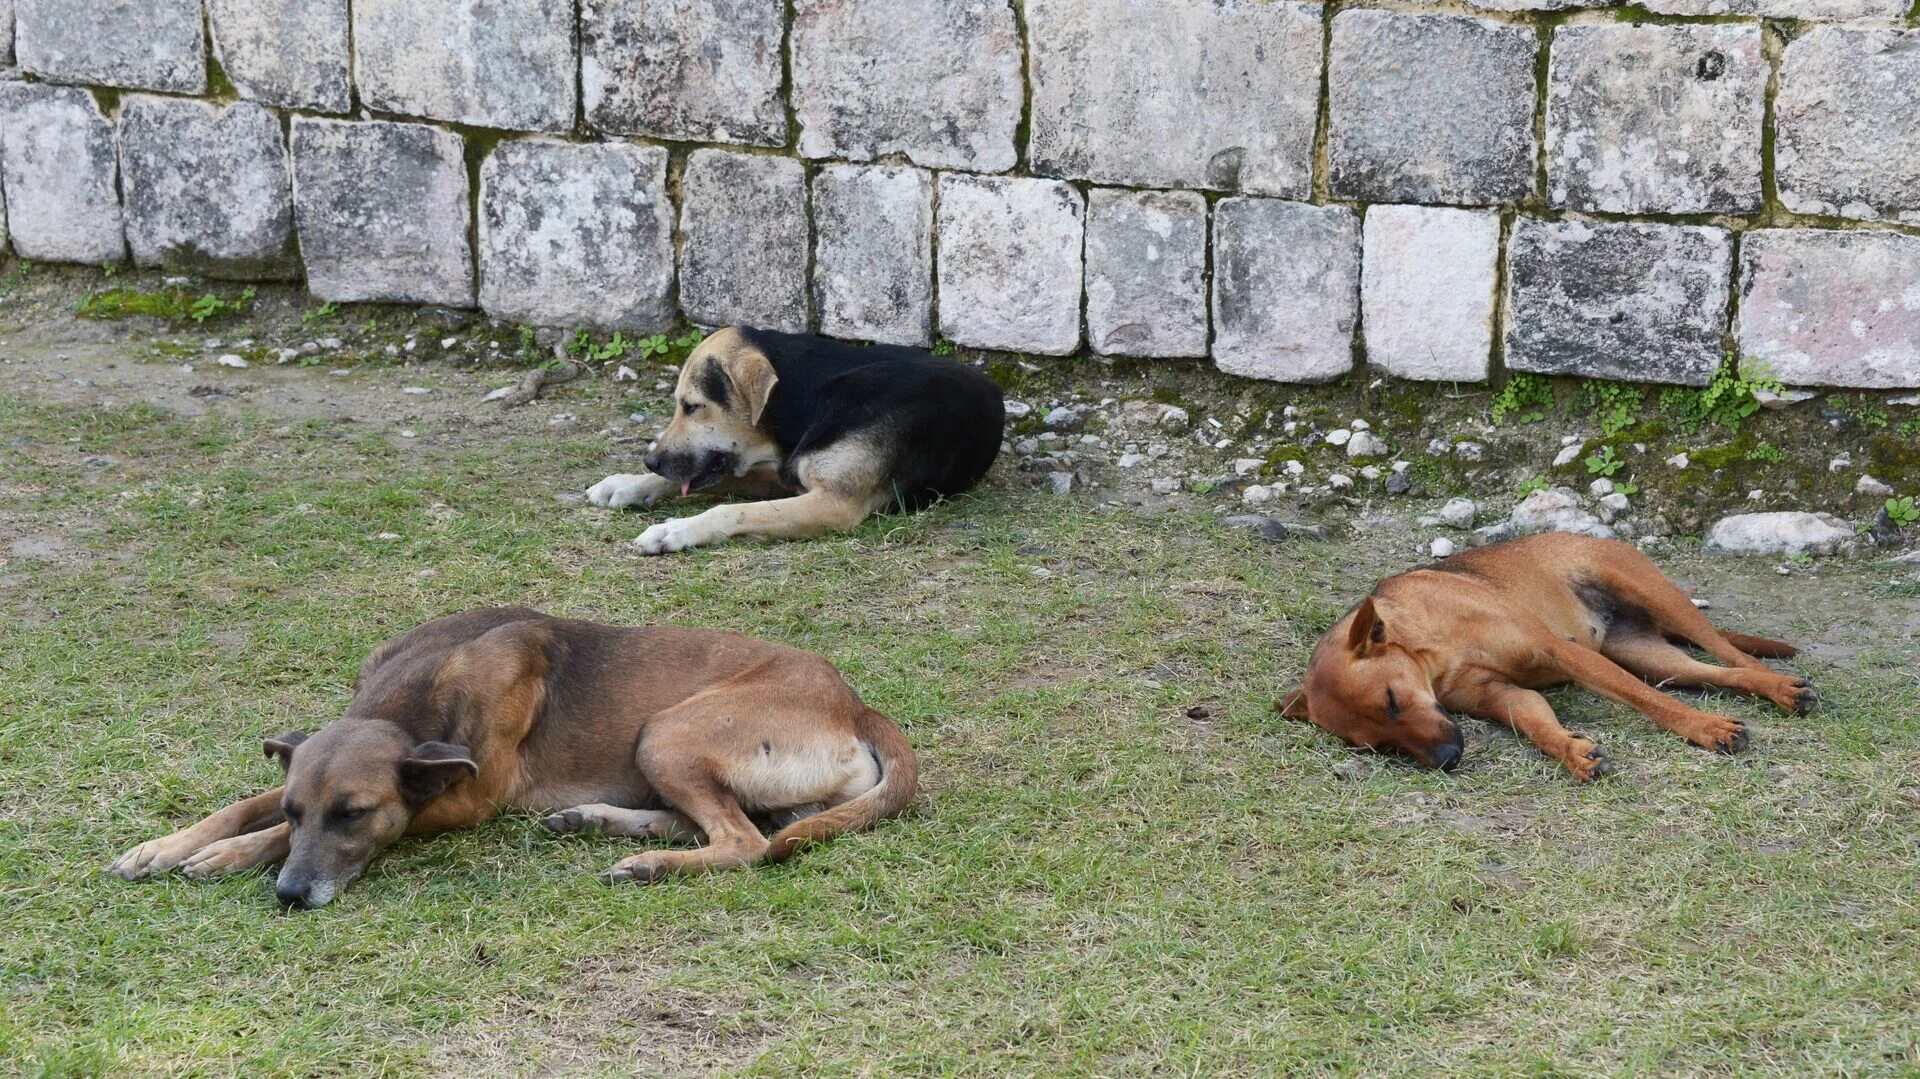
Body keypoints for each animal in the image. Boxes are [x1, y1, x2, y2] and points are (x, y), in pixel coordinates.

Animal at [108, 610, 917, 902]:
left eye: (354, 814)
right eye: (299, 806)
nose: (290, 895)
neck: (415, 693)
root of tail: (854, 703)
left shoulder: (467, 798)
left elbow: (268, 831)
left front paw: (224, 856)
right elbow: (247, 806)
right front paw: (165, 845)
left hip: (666, 733)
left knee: (745, 842)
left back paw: (649, 862)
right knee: (719, 824)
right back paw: (602, 823)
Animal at [583, 322, 1006, 549]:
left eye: (692, 406)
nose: (650, 460)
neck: (811, 402)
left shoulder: (834, 503)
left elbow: (731, 509)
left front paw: (675, 529)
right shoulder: (781, 474)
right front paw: (630, 483)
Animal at [1274, 529, 1812, 775]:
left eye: (1391, 700)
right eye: (1379, 747)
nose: (1449, 758)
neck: (1430, 645)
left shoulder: (1560, 651)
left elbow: (1646, 702)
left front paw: (1701, 728)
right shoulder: (1504, 696)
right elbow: (1537, 724)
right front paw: (1572, 751)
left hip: (1660, 599)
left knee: (1729, 654)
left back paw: (1779, 687)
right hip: (1653, 658)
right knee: (1714, 673)